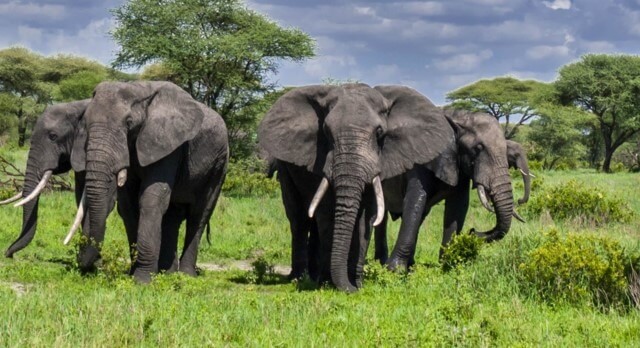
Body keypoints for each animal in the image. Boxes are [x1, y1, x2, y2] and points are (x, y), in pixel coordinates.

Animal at [74, 81, 229, 282]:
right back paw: (167, 273)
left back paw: (186, 275)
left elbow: (151, 199)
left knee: (199, 214)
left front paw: (142, 280)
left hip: (220, 164)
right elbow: (128, 205)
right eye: (85, 123)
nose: (89, 267)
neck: (139, 90)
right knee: (172, 216)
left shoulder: (167, 143)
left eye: (129, 123)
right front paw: (134, 273)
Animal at [258, 83, 462, 290]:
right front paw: (331, 284)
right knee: (299, 217)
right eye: (326, 132)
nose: (350, 289)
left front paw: (356, 284)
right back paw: (300, 278)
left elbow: (367, 216)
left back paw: (313, 277)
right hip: (284, 167)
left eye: (379, 132)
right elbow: (327, 212)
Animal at [382, 109, 516, 272]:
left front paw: (448, 264)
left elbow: (458, 206)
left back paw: (409, 266)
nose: (473, 231)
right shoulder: (421, 161)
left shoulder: (459, 166)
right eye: (478, 148)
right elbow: (415, 200)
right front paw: (394, 270)